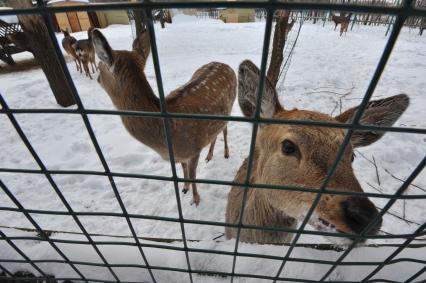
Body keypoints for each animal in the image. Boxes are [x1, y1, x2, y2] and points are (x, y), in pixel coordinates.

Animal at [91, 28, 236, 206]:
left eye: (99, 65)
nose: (97, 77)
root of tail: (226, 64)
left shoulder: (194, 148)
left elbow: (193, 174)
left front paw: (195, 199)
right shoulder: (181, 155)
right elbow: (183, 168)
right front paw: (184, 188)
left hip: (231, 106)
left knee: (225, 130)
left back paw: (226, 153)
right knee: (216, 132)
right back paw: (209, 156)